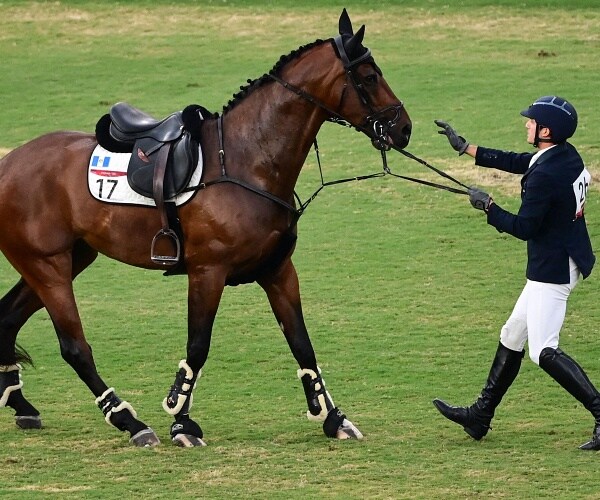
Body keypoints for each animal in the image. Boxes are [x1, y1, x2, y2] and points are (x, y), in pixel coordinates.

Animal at [0, 8, 410, 446]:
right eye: (369, 76)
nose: (404, 129)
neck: (248, 160)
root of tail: (9, 163)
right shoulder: (207, 273)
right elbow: (197, 347)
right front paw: (181, 422)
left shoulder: (278, 271)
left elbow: (302, 344)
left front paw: (334, 418)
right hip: (48, 267)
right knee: (75, 347)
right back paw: (130, 422)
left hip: (67, 259)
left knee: (7, 318)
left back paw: (22, 405)